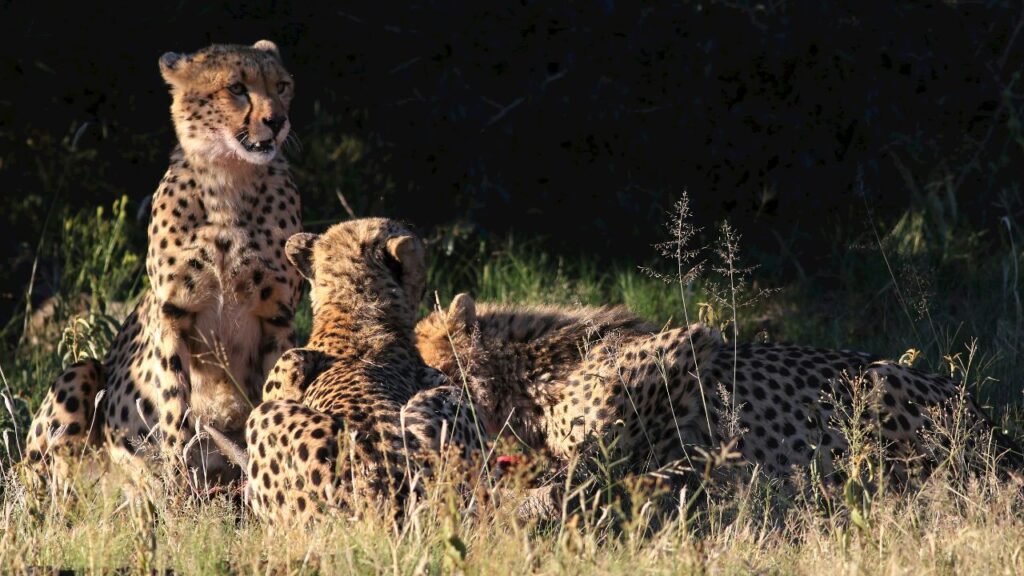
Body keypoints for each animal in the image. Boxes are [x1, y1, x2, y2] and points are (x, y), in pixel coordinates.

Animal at [23, 40, 303, 488]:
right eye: (237, 88)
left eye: (281, 86)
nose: (277, 122)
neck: (229, 180)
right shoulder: (174, 316)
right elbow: (175, 410)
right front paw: (179, 484)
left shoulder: (277, 318)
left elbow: (279, 392)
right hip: (80, 375)